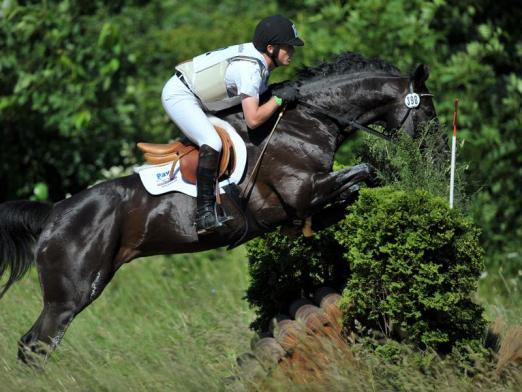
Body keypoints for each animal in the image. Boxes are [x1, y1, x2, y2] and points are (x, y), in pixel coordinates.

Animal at [1, 52, 434, 364]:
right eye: (428, 112)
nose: (431, 156)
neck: (305, 122)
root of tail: (54, 214)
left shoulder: (305, 204)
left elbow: (353, 190)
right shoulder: (304, 193)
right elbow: (366, 171)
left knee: (33, 346)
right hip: (70, 295)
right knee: (35, 346)